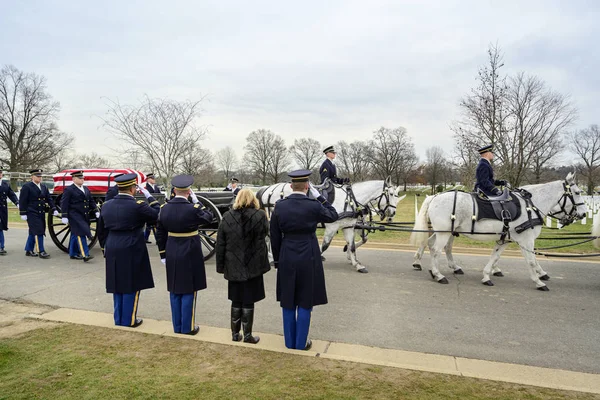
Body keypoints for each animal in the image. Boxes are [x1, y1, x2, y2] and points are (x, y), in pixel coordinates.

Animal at [258, 180, 404, 274]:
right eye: (391, 194)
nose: (392, 214)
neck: (350, 199)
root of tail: (267, 189)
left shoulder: (348, 227)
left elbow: (351, 246)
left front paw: (357, 265)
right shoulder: (332, 227)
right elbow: (324, 246)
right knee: (268, 237)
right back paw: (272, 258)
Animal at [408, 172, 584, 290]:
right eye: (577, 193)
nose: (582, 214)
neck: (530, 205)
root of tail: (435, 196)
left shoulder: (506, 239)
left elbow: (495, 256)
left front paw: (487, 275)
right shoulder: (526, 240)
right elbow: (531, 261)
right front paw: (539, 281)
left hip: (443, 232)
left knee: (432, 244)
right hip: (444, 233)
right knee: (436, 249)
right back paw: (438, 275)